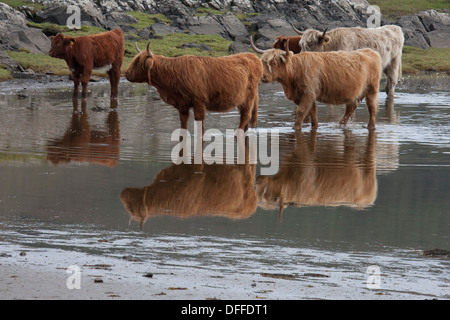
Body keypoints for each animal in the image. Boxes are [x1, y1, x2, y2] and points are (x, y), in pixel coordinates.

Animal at [125, 43, 262, 131]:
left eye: (137, 62)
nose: (126, 73)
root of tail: (252, 56)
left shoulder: (199, 101)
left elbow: (199, 122)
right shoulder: (182, 104)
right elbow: (183, 123)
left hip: (248, 97)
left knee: (245, 116)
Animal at [251, 38, 382, 130]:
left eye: (274, 63)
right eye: (263, 62)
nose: (263, 76)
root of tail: (370, 51)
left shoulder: (308, 94)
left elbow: (301, 111)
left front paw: (295, 127)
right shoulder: (304, 95)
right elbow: (312, 112)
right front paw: (315, 126)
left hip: (372, 89)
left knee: (372, 107)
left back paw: (370, 126)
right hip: (353, 92)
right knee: (351, 107)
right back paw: (341, 124)